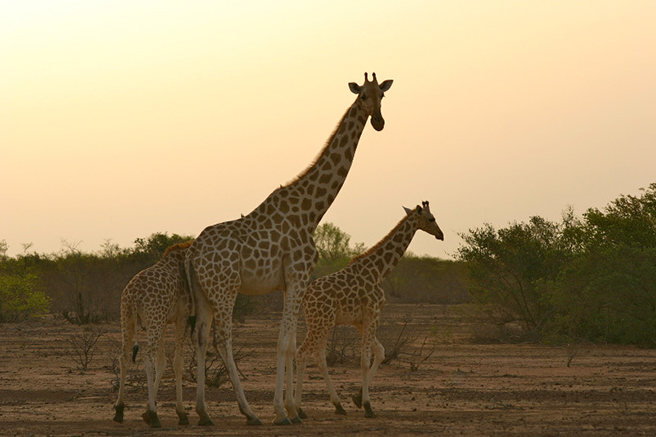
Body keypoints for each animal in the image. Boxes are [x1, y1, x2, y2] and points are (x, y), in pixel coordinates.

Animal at [113, 241, 194, 428]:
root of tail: (134, 294)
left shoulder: (163, 321)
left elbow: (162, 362)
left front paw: (147, 410)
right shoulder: (182, 317)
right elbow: (177, 362)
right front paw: (181, 413)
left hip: (127, 318)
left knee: (124, 356)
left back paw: (119, 411)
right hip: (152, 320)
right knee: (147, 356)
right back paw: (155, 415)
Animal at [185, 73, 393, 426]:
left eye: (383, 95)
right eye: (363, 95)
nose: (378, 122)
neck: (312, 211)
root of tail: (192, 253)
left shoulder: (289, 283)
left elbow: (293, 343)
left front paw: (294, 409)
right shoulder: (298, 276)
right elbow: (285, 343)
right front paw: (283, 412)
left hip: (204, 293)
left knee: (200, 338)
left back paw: (203, 412)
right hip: (226, 289)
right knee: (221, 339)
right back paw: (248, 411)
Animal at [294, 201, 443, 419]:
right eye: (431, 218)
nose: (441, 234)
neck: (379, 270)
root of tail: (305, 297)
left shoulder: (360, 320)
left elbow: (380, 352)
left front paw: (357, 398)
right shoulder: (373, 312)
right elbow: (365, 359)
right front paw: (367, 406)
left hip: (321, 322)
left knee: (318, 357)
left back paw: (337, 405)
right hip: (320, 322)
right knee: (302, 353)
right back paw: (298, 409)